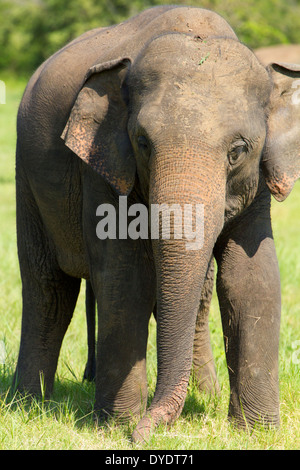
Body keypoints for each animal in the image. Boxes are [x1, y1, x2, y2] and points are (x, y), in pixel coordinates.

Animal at [12, 5, 298, 442]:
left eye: (237, 151)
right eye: (143, 144)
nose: (146, 433)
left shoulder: (259, 184)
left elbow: (252, 278)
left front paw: (257, 433)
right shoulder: (103, 165)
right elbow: (124, 277)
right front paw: (116, 427)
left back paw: (206, 395)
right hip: (26, 180)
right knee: (48, 290)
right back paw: (26, 404)